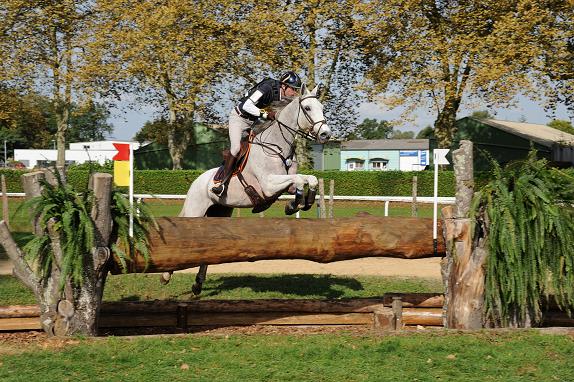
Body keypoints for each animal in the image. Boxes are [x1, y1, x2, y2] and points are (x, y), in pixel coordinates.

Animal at [161, 84, 332, 296]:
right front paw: (294, 205)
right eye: (307, 108)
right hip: (196, 211)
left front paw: (298, 204)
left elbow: (309, 180)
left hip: (220, 212)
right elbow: (300, 179)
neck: (276, 147)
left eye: (322, 107)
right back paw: (166, 275)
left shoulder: (286, 184)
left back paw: (197, 285)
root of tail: (196, 182)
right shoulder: (268, 185)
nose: (325, 134)